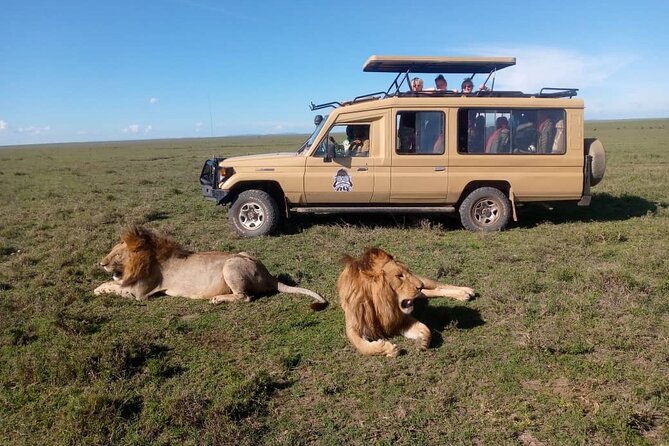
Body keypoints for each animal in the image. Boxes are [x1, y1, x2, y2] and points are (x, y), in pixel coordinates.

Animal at [93, 225, 328, 310]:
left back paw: (217, 299)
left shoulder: (139, 293)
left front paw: (96, 289)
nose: (101, 263)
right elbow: (112, 284)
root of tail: (269, 275)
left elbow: (112, 287)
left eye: (117, 254)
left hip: (231, 265)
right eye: (111, 251)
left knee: (245, 297)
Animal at [337, 248, 475, 357]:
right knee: (434, 291)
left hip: (424, 281)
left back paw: (466, 291)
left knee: (440, 285)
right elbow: (361, 345)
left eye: (407, 272)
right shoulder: (353, 326)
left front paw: (422, 341)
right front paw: (388, 349)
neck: (381, 304)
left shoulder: (401, 318)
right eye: (400, 276)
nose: (420, 286)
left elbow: (426, 329)